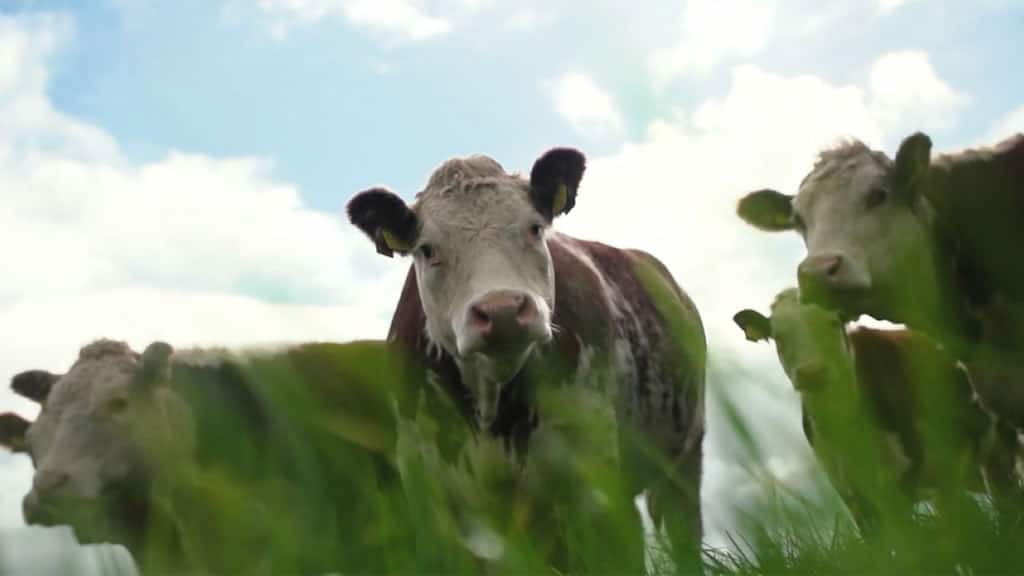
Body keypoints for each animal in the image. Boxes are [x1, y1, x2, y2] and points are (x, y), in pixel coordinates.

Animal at [348, 147, 708, 569]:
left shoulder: (593, 477)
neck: (490, 409)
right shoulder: (428, 486)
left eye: (535, 228)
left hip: (684, 460)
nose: (502, 309)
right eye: (428, 249)